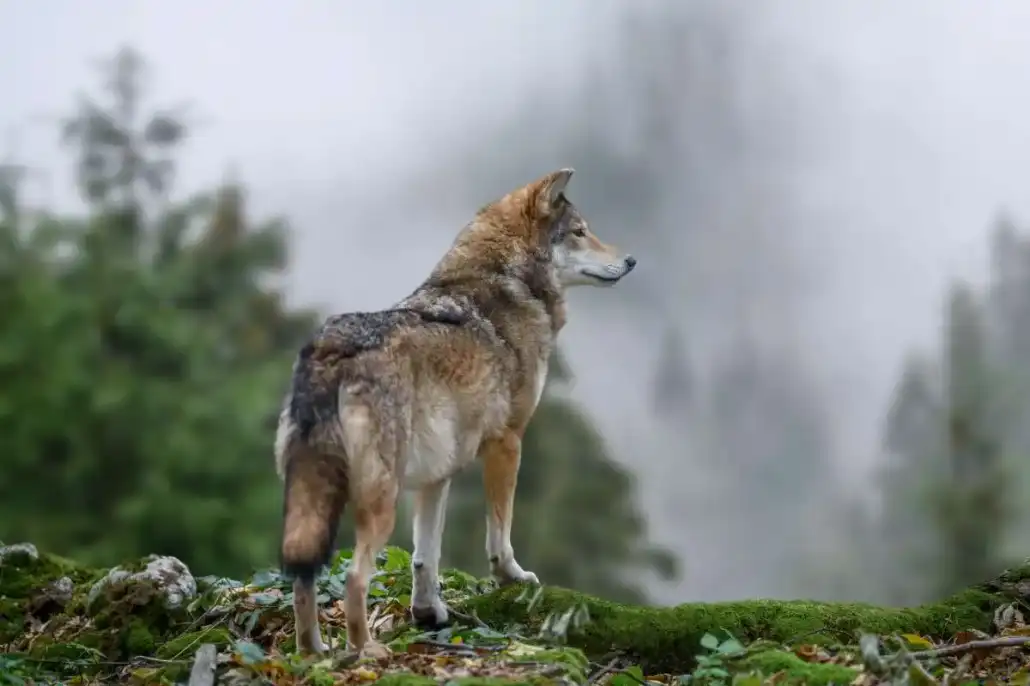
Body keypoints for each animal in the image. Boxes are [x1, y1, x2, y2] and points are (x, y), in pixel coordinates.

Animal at [273, 167, 637, 658]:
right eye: (580, 232)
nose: (631, 260)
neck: (507, 281)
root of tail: (333, 350)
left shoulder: (437, 475)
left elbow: (426, 557)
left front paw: (429, 613)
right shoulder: (508, 442)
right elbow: (500, 533)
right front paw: (511, 577)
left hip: (314, 499)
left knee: (303, 576)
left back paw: (314, 653)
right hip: (380, 501)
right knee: (353, 576)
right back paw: (367, 651)